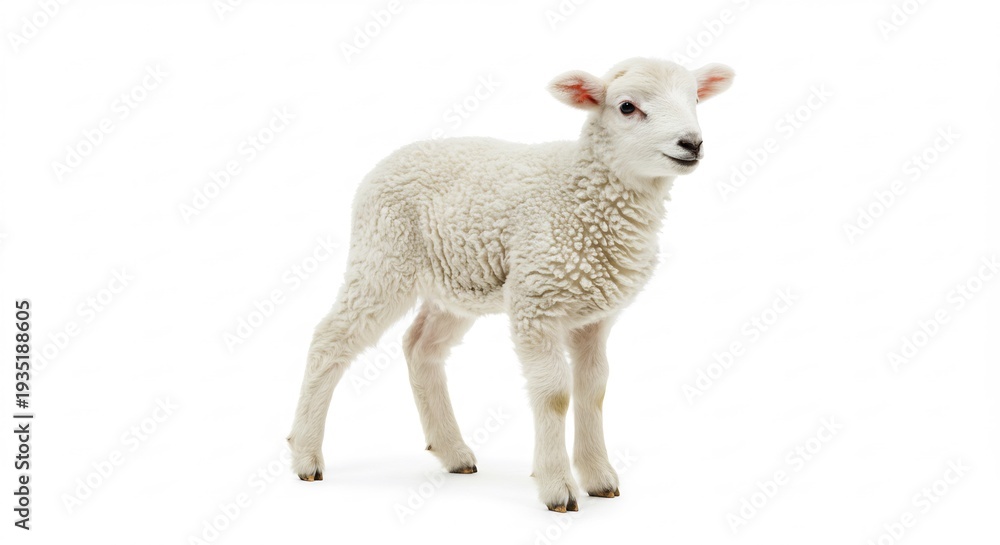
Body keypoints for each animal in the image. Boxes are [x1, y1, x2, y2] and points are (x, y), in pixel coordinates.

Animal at [288, 56, 735, 512]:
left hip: (454, 281)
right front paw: (558, 487)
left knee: (421, 347)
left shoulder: (595, 315)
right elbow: (555, 394)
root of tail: (393, 158)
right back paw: (306, 455)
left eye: (696, 99)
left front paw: (598, 477)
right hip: (382, 256)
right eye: (627, 107)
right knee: (330, 338)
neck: (583, 193)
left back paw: (453, 452)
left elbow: (593, 389)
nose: (692, 143)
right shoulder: (536, 301)